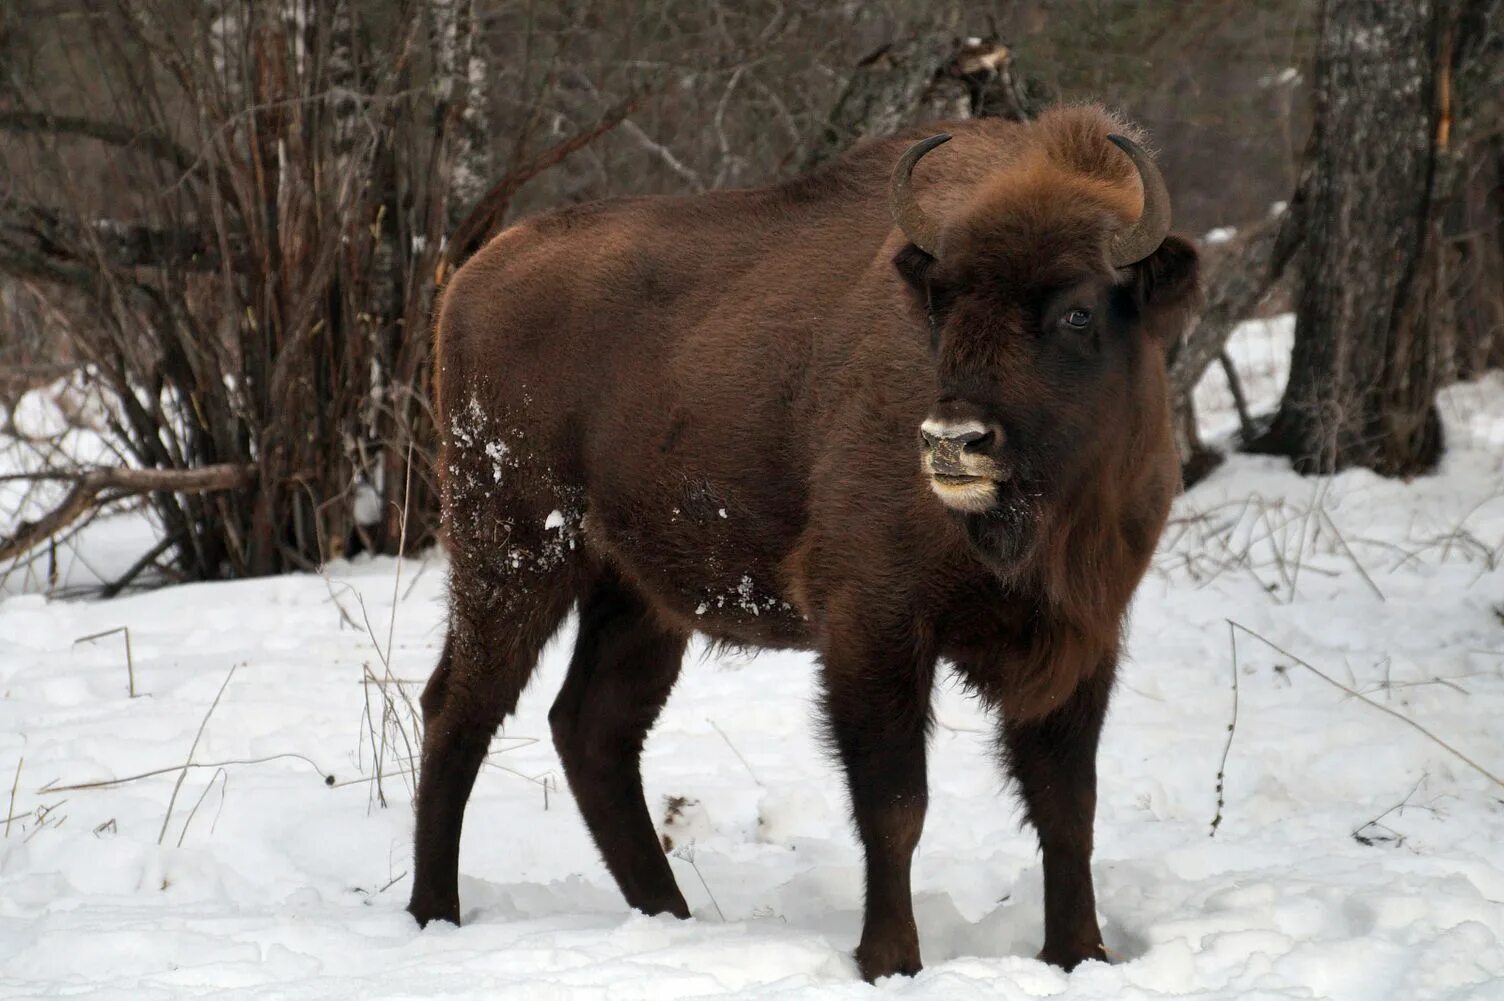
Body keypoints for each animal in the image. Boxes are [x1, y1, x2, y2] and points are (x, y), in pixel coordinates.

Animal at [409, 105, 1197, 979]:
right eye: (944, 306)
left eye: (1078, 311)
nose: (953, 441)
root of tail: (471, 277)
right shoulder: (874, 627)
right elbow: (896, 803)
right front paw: (891, 959)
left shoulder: (1084, 637)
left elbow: (1067, 805)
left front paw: (1079, 953)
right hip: (512, 555)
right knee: (459, 709)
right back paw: (435, 914)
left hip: (634, 598)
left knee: (592, 729)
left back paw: (669, 914)